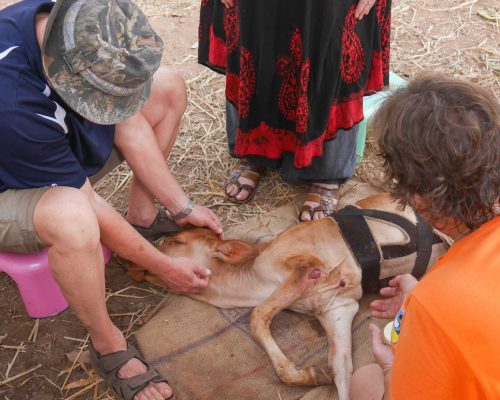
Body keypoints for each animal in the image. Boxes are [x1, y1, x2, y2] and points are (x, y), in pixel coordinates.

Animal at [128, 194, 450, 400]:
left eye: (177, 241)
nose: (133, 257)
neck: (254, 279)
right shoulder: (338, 309)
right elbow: (341, 367)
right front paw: (319, 375)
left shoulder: (307, 267)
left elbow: (257, 315)